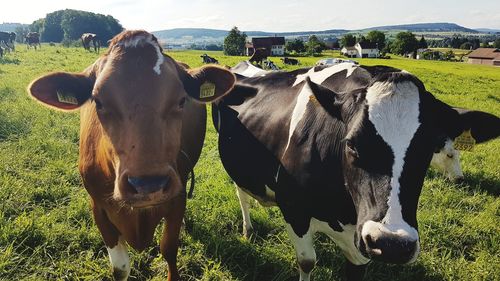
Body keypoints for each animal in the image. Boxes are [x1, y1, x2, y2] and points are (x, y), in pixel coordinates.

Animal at [28, 29, 235, 278]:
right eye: (98, 101)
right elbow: (120, 268)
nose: (148, 184)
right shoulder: (99, 209)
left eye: (181, 100)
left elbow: (169, 249)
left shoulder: (177, 199)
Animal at [212, 62, 500, 278]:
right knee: (241, 194)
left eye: (428, 149)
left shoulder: (359, 247)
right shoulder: (294, 210)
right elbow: (307, 261)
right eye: (350, 143)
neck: (344, 210)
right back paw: (248, 229)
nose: (391, 243)